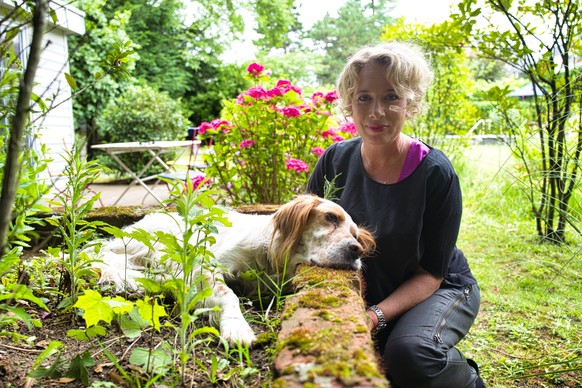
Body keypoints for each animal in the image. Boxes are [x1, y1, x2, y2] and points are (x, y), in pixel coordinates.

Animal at [89, 196, 376, 344]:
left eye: (355, 235)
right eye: (330, 217)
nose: (357, 250)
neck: (268, 258)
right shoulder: (204, 265)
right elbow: (228, 294)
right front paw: (237, 327)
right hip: (149, 242)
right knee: (102, 254)